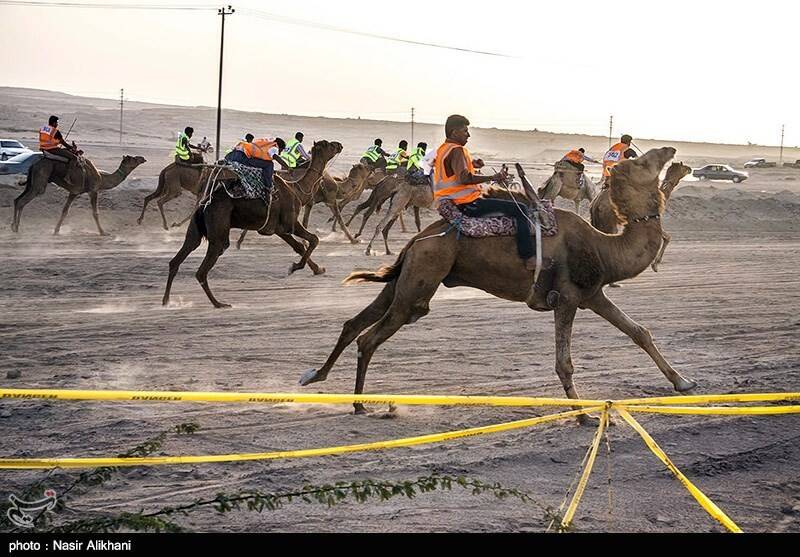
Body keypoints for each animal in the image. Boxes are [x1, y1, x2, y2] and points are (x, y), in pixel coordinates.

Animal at [12, 152, 147, 235]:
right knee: (22, 201)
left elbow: (65, 211)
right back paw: (16, 228)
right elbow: (95, 213)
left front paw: (56, 230)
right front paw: (103, 232)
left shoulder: (75, 192)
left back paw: (13, 226)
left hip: (32, 182)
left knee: (17, 199)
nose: (143, 158)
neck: (102, 178)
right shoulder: (91, 190)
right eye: (134, 159)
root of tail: (33, 165)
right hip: (40, 181)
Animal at [164, 139, 342, 308]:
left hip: (196, 228)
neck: (298, 190)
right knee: (204, 268)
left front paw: (317, 269)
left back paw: (166, 301)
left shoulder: (278, 228)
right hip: (218, 226)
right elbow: (313, 239)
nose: (339, 145)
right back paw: (219, 304)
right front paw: (295, 267)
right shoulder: (290, 222)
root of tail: (204, 204)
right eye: (328, 145)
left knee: (179, 257)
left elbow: (299, 246)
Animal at [296, 148, 696, 422]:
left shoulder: (592, 293)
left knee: (356, 323)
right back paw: (358, 403)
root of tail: (417, 241)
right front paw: (584, 414)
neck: (603, 247)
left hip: (406, 277)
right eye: (646, 162)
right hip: (423, 277)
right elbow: (564, 362)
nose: (672, 150)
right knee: (371, 336)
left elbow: (639, 332)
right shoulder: (566, 298)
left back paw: (316, 376)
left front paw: (684, 383)